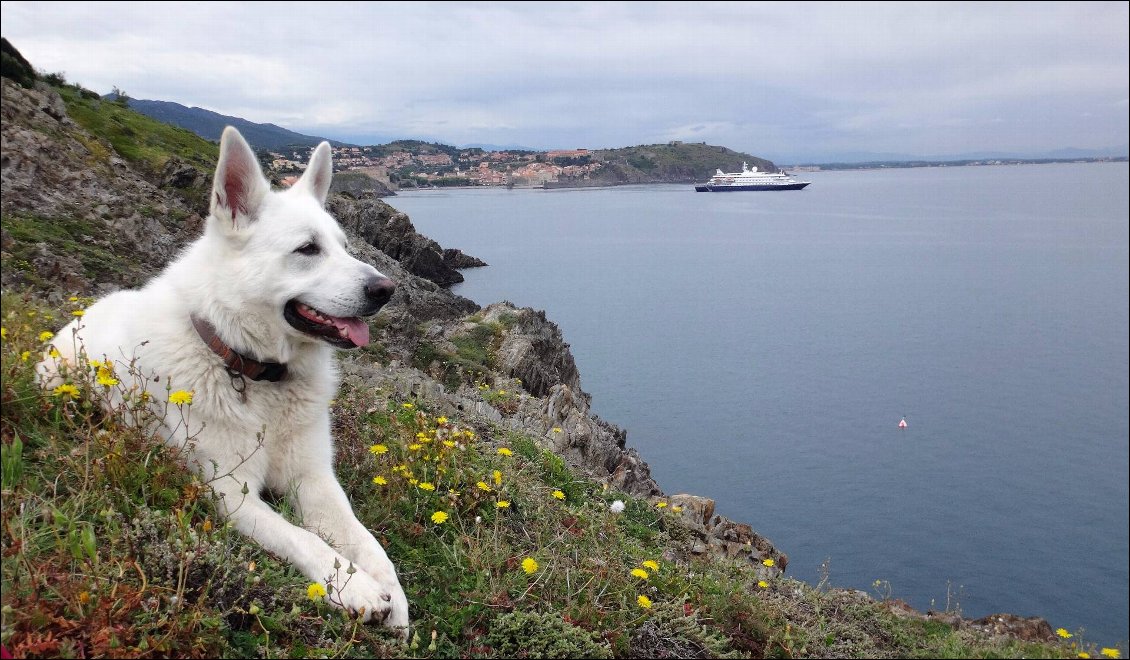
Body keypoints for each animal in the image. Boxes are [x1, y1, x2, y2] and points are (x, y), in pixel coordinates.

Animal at [38, 126, 411, 637]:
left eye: (343, 245)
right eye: (308, 249)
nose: (386, 290)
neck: (257, 374)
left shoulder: (314, 479)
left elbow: (366, 539)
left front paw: (394, 597)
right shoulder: (231, 494)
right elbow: (305, 539)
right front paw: (354, 587)